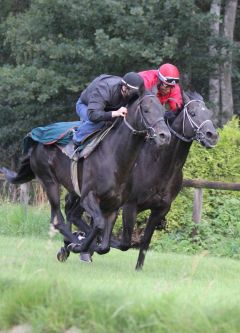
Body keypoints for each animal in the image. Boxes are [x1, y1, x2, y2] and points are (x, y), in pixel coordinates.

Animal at [0, 92, 172, 255]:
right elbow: (99, 224)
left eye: (163, 112)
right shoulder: (89, 197)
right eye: (146, 109)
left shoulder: (114, 204)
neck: (114, 157)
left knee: (71, 215)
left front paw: (88, 244)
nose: (165, 136)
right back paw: (73, 243)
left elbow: (105, 245)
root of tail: (35, 142)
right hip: (49, 181)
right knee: (59, 220)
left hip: (72, 191)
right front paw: (80, 246)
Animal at [118, 89, 219, 268]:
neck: (158, 165)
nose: (212, 135)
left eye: (208, 113)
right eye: (192, 113)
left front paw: (138, 269)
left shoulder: (160, 209)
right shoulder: (130, 206)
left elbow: (145, 241)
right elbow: (124, 242)